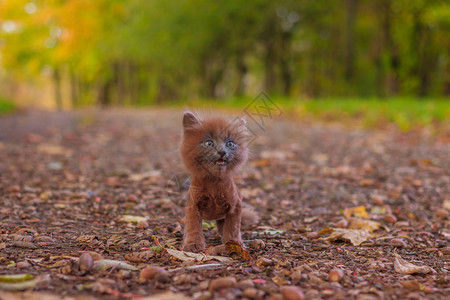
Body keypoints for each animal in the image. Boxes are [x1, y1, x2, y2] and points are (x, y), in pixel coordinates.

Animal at [179, 111, 256, 252]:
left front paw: (235, 243)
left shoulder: (235, 205)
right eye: (209, 143)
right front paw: (193, 244)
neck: (214, 182)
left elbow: (233, 227)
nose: (222, 152)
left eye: (230, 144)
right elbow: (193, 226)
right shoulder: (192, 205)